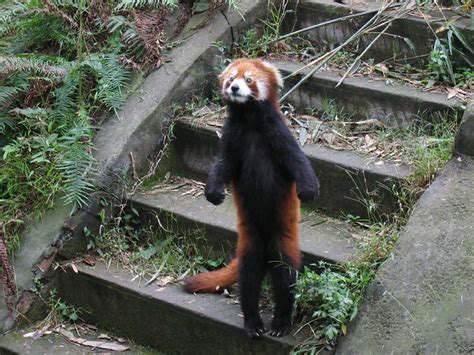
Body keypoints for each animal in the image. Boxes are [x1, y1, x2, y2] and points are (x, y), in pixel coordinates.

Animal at [183, 58, 320, 340]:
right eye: (230, 78)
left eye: (249, 80)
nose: (234, 88)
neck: (248, 119)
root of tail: (266, 249)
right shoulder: (231, 139)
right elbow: (222, 166)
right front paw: (213, 193)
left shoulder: (278, 132)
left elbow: (297, 161)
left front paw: (309, 190)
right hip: (250, 243)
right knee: (249, 278)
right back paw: (253, 322)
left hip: (282, 241)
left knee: (285, 277)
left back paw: (281, 321)